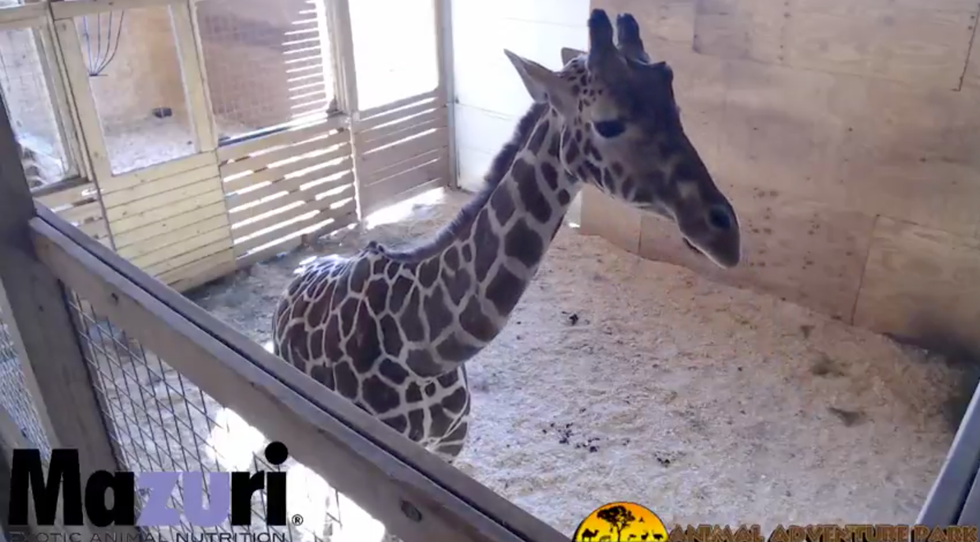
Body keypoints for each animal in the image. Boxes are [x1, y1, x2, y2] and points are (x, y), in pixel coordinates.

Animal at [272, 8, 740, 534]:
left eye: (674, 104)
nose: (727, 236)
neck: (421, 347)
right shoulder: (375, 455)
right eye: (608, 122)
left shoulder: (445, 451)